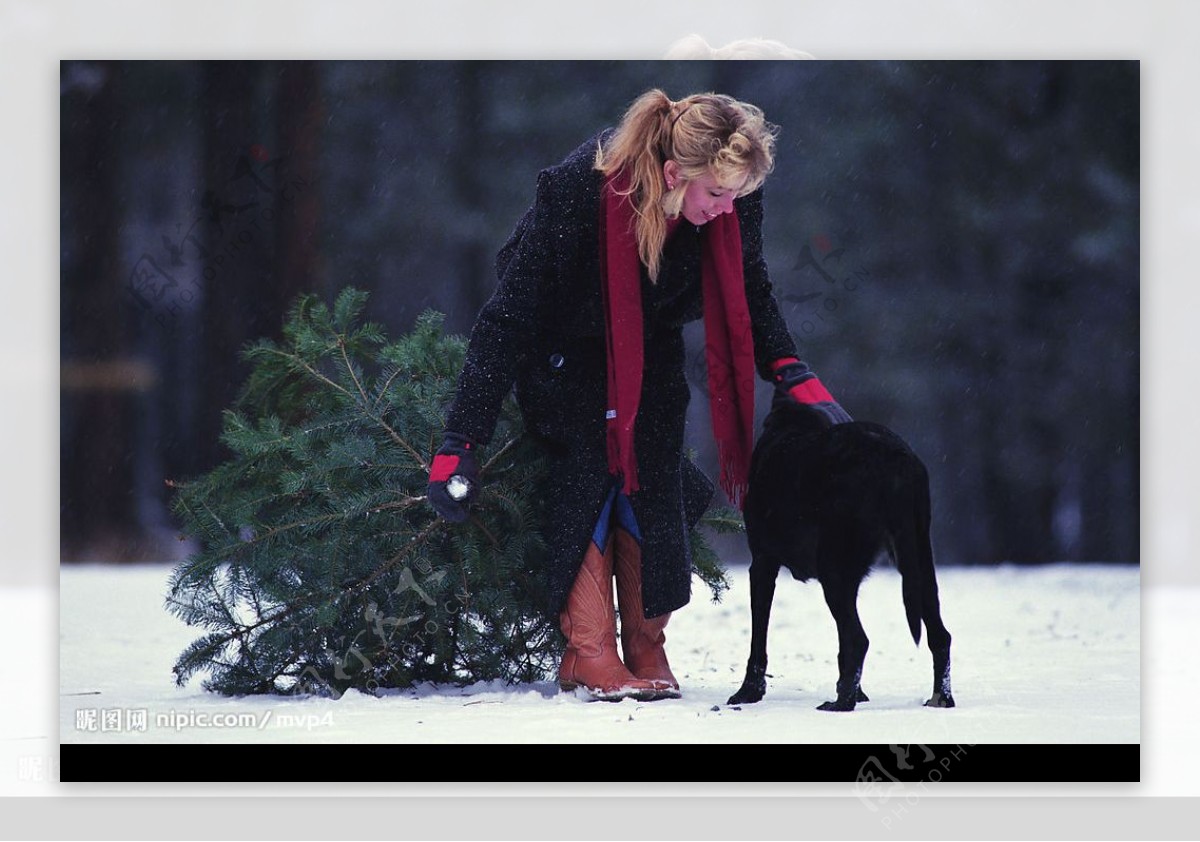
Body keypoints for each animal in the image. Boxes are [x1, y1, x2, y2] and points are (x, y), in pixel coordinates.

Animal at [720, 403, 955, 710]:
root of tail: (897, 459)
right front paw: (858, 692)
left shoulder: (762, 562)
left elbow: (759, 638)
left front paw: (748, 692)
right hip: (917, 563)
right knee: (940, 636)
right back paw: (941, 698)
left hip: (833, 569)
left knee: (859, 639)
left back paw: (841, 704)